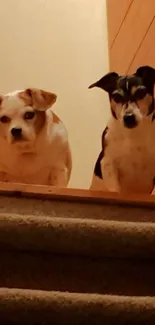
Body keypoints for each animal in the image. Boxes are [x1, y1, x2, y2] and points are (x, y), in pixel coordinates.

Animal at [89, 64, 155, 194]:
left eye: (141, 93)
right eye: (116, 97)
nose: (128, 117)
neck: (134, 133)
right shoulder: (108, 163)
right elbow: (115, 188)